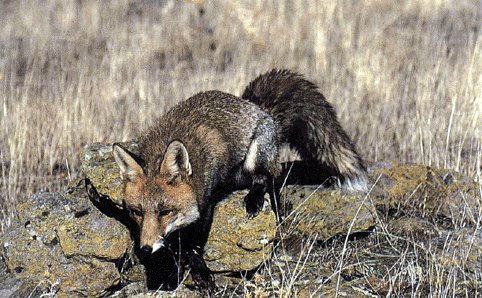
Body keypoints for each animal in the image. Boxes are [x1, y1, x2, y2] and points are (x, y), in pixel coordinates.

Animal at [113, 68, 368, 292]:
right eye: (137, 212)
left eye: (165, 212)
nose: (145, 249)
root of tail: (258, 108)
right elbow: (173, 248)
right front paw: (169, 275)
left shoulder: (206, 204)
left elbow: (193, 247)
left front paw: (200, 274)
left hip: (253, 159)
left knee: (269, 178)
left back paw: (258, 201)